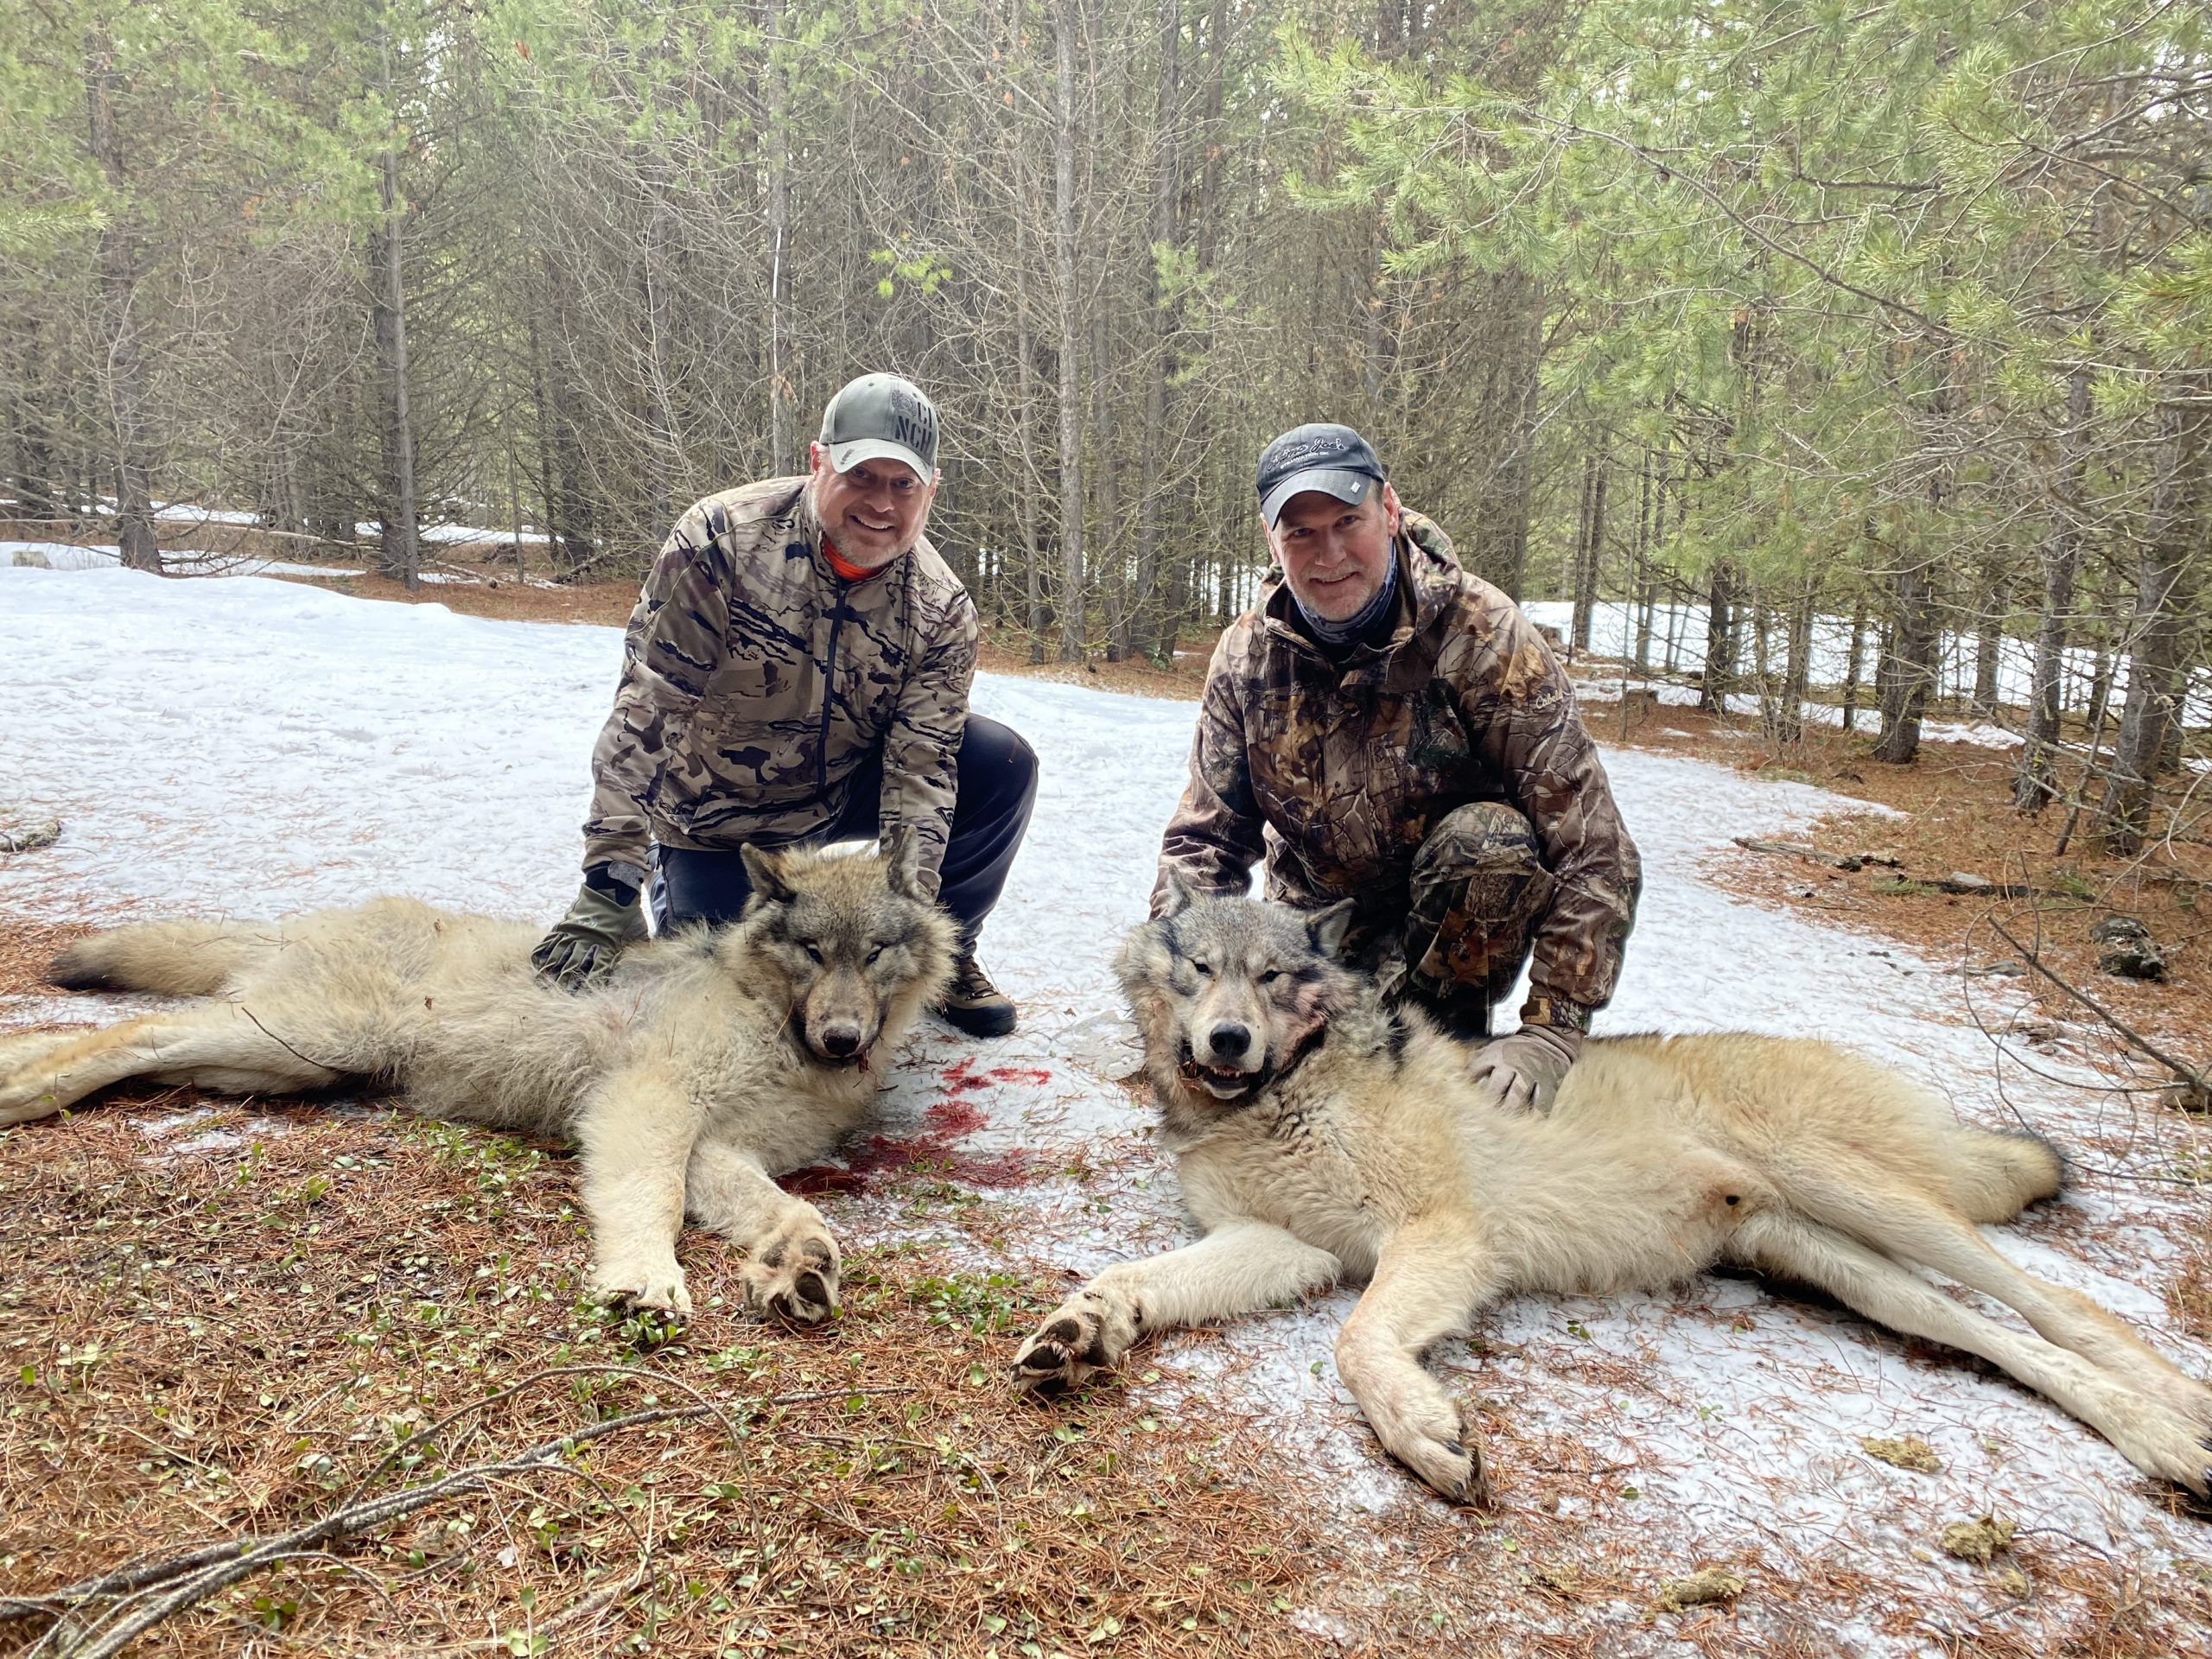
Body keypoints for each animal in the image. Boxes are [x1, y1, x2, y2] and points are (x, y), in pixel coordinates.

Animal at [0, 835, 955, 1323]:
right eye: (812, 952)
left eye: (874, 953)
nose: (841, 1039)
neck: (770, 1019)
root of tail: (296, 925)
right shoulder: (649, 1106)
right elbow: (646, 1201)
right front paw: (645, 1279)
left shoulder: (720, 1145)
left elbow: (786, 1209)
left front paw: (797, 1262)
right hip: (305, 1040)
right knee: (133, 1032)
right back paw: (21, 1087)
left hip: (277, 1068)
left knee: (157, 1043)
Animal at [1012, 883, 2212, 1503]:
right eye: (1199, 974)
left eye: (1270, 980)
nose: (1224, 1041)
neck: (1282, 1098)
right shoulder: (1285, 1246)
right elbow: (1132, 1278)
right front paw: (1079, 1327)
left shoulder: (1439, 1237)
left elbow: (1355, 1346)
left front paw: (1425, 1435)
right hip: (1850, 1274)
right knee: (2010, 1345)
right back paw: (2159, 1439)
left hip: (1873, 1202)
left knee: (2064, 1306)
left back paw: (2182, 1414)